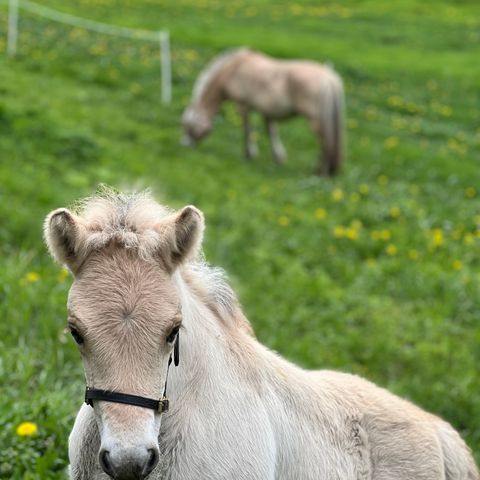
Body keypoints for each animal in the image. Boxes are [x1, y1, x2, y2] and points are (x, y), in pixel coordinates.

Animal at [181, 48, 344, 176]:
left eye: (188, 127)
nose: (185, 145)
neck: (233, 69)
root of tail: (329, 78)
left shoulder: (244, 106)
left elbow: (247, 129)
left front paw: (249, 154)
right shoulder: (268, 112)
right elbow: (272, 132)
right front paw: (278, 158)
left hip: (316, 121)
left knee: (325, 143)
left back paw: (321, 171)